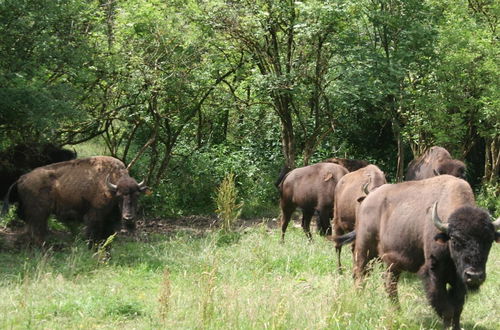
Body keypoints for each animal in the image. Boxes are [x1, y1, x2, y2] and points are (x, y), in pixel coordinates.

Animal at [1, 156, 146, 246]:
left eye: (137, 195)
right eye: (120, 196)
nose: (128, 217)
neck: (111, 187)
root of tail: (21, 178)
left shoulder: (109, 220)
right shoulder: (94, 217)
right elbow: (93, 235)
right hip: (39, 214)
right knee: (37, 231)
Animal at [336, 174, 500, 328]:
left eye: (489, 240)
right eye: (454, 240)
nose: (475, 276)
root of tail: (366, 200)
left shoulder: (459, 280)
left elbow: (457, 307)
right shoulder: (433, 274)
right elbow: (446, 307)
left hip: (392, 262)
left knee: (389, 284)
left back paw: (397, 311)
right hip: (365, 250)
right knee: (360, 274)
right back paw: (361, 299)